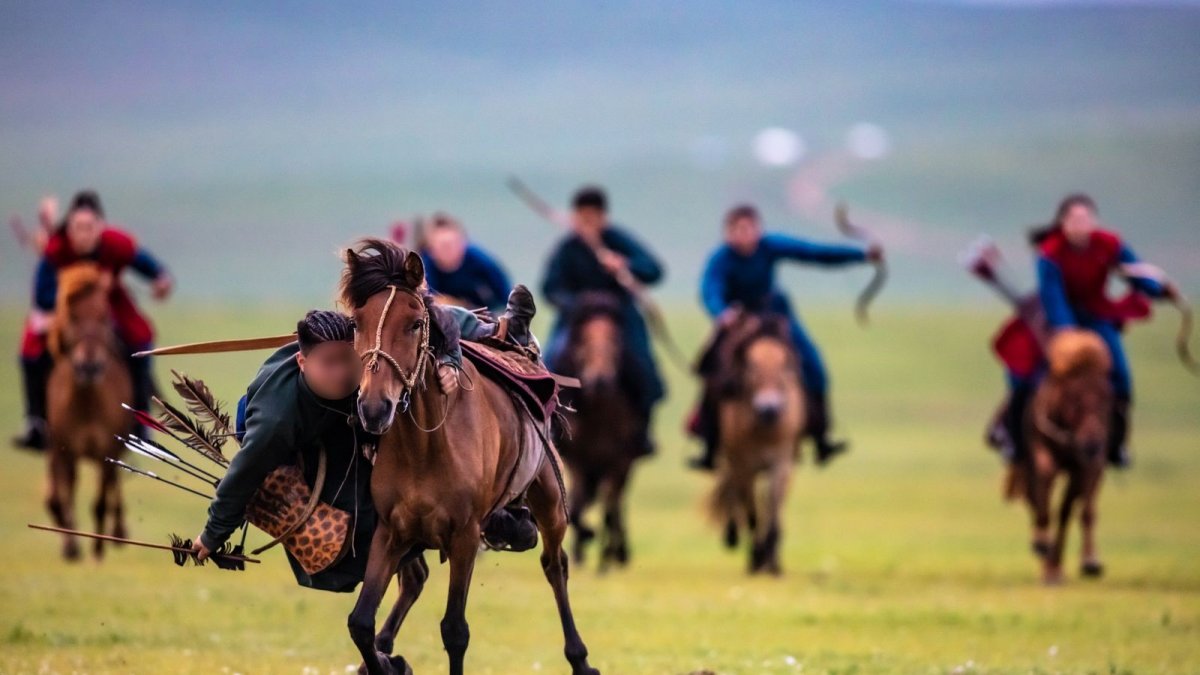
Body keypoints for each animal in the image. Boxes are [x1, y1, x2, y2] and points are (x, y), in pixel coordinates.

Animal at [43, 261, 133, 557]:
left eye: (105, 316)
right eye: (71, 316)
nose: (89, 366)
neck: (88, 404)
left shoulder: (108, 450)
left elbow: (100, 502)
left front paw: (98, 549)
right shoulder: (65, 450)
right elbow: (65, 495)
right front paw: (71, 546)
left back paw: (116, 533)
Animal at [338, 239, 600, 672]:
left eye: (415, 324)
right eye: (357, 323)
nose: (374, 408)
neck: (424, 447)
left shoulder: (463, 536)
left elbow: (454, 631)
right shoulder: (391, 531)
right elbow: (360, 622)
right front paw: (387, 661)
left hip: (549, 501)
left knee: (555, 565)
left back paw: (580, 658)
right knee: (414, 581)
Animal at [554, 291, 648, 569]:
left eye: (616, 341)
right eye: (582, 341)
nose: (600, 380)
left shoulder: (619, 461)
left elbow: (609, 507)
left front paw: (607, 556)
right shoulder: (577, 459)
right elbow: (576, 506)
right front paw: (585, 539)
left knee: (616, 505)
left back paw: (617, 552)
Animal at [700, 309, 806, 571]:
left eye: (786, 364)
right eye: (750, 366)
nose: (769, 408)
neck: (764, 428)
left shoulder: (781, 462)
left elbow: (773, 510)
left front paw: (773, 561)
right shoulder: (743, 465)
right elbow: (752, 514)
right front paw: (757, 557)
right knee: (734, 492)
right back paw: (733, 537)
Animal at [1022, 329, 1113, 581]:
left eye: (1106, 397)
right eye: (1074, 398)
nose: (1092, 443)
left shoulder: (1089, 465)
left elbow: (1080, 510)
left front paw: (1090, 562)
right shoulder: (1042, 455)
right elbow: (1044, 502)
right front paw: (1041, 543)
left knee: (1071, 509)